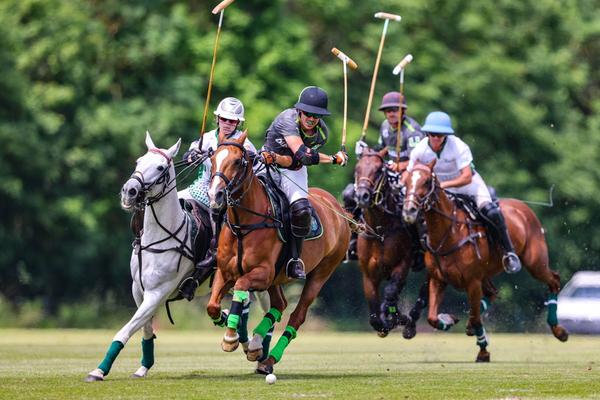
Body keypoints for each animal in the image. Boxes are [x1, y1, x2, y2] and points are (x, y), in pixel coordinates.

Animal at [205, 134, 352, 376]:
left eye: (237, 161)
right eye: (213, 158)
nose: (214, 195)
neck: (243, 225)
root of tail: (339, 209)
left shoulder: (262, 272)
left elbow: (241, 285)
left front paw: (230, 337)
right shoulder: (225, 272)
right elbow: (212, 306)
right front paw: (229, 326)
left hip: (322, 272)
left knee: (297, 315)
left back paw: (268, 358)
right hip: (277, 277)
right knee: (280, 304)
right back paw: (257, 346)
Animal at [354, 148, 428, 340]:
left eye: (379, 170)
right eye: (357, 168)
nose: (362, 196)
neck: (380, 230)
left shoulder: (403, 263)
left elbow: (390, 292)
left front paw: (396, 318)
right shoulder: (368, 274)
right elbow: (374, 314)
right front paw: (384, 323)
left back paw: (409, 323)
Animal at [404, 161, 568, 360]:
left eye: (427, 181)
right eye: (407, 180)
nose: (409, 210)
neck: (449, 233)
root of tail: (522, 206)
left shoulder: (472, 282)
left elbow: (475, 318)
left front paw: (483, 352)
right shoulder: (438, 279)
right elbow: (432, 318)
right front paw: (449, 319)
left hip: (535, 262)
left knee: (554, 280)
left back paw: (559, 330)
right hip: (487, 274)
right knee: (492, 294)